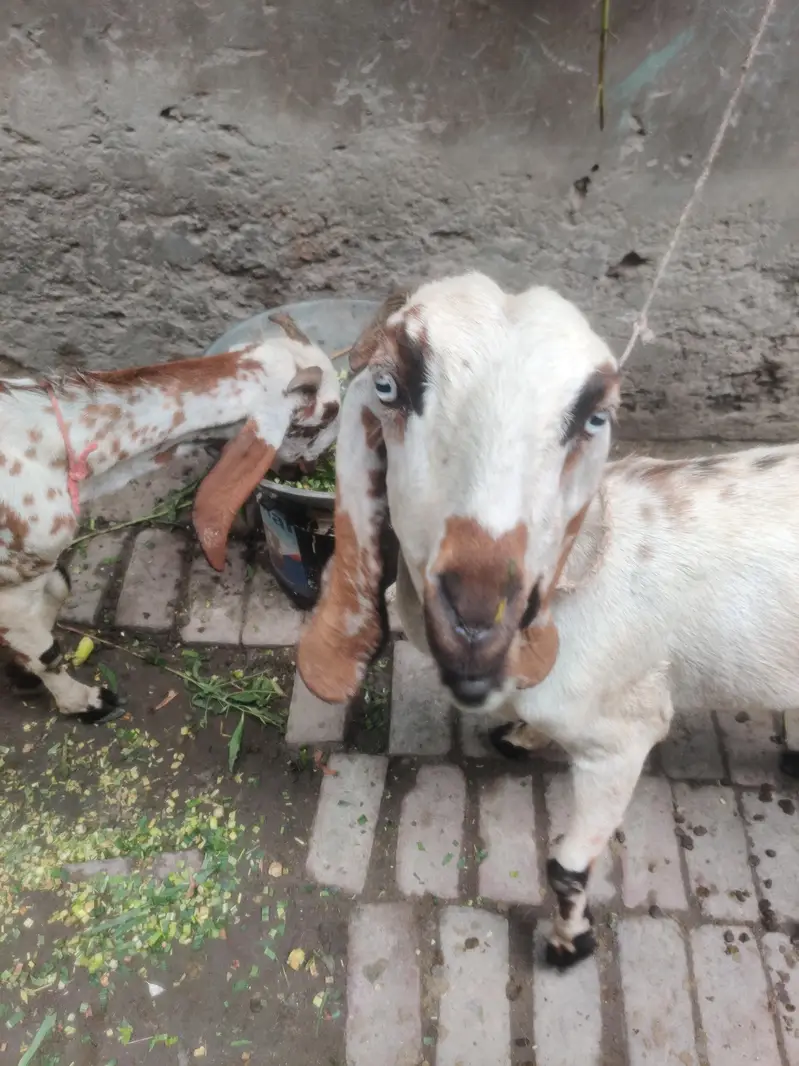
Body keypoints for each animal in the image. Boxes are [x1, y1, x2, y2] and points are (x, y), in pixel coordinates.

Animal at [0, 314, 340, 724]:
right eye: (325, 417)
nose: (311, 470)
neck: (47, 439)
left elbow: (59, 589)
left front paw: (19, 670)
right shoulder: (14, 584)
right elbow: (45, 653)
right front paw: (84, 702)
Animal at [297, 271, 799, 968]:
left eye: (595, 417)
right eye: (388, 386)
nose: (476, 624)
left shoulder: (624, 737)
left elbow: (565, 869)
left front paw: (568, 943)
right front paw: (521, 735)